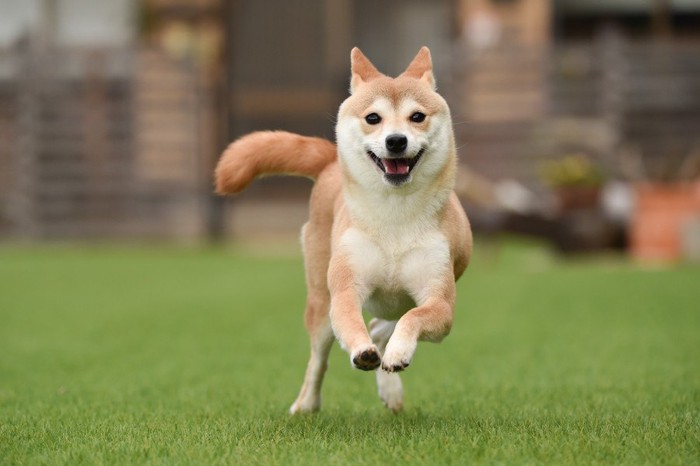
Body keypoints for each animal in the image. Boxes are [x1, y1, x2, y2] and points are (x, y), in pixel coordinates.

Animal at [216, 46, 474, 412]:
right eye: (373, 118)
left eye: (417, 117)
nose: (396, 141)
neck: (394, 214)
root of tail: (328, 164)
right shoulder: (345, 289)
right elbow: (351, 322)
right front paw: (362, 351)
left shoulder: (439, 302)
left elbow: (413, 319)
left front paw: (397, 352)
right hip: (320, 301)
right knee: (320, 357)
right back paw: (307, 403)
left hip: (397, 301)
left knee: (384, 325)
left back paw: (389, 383)